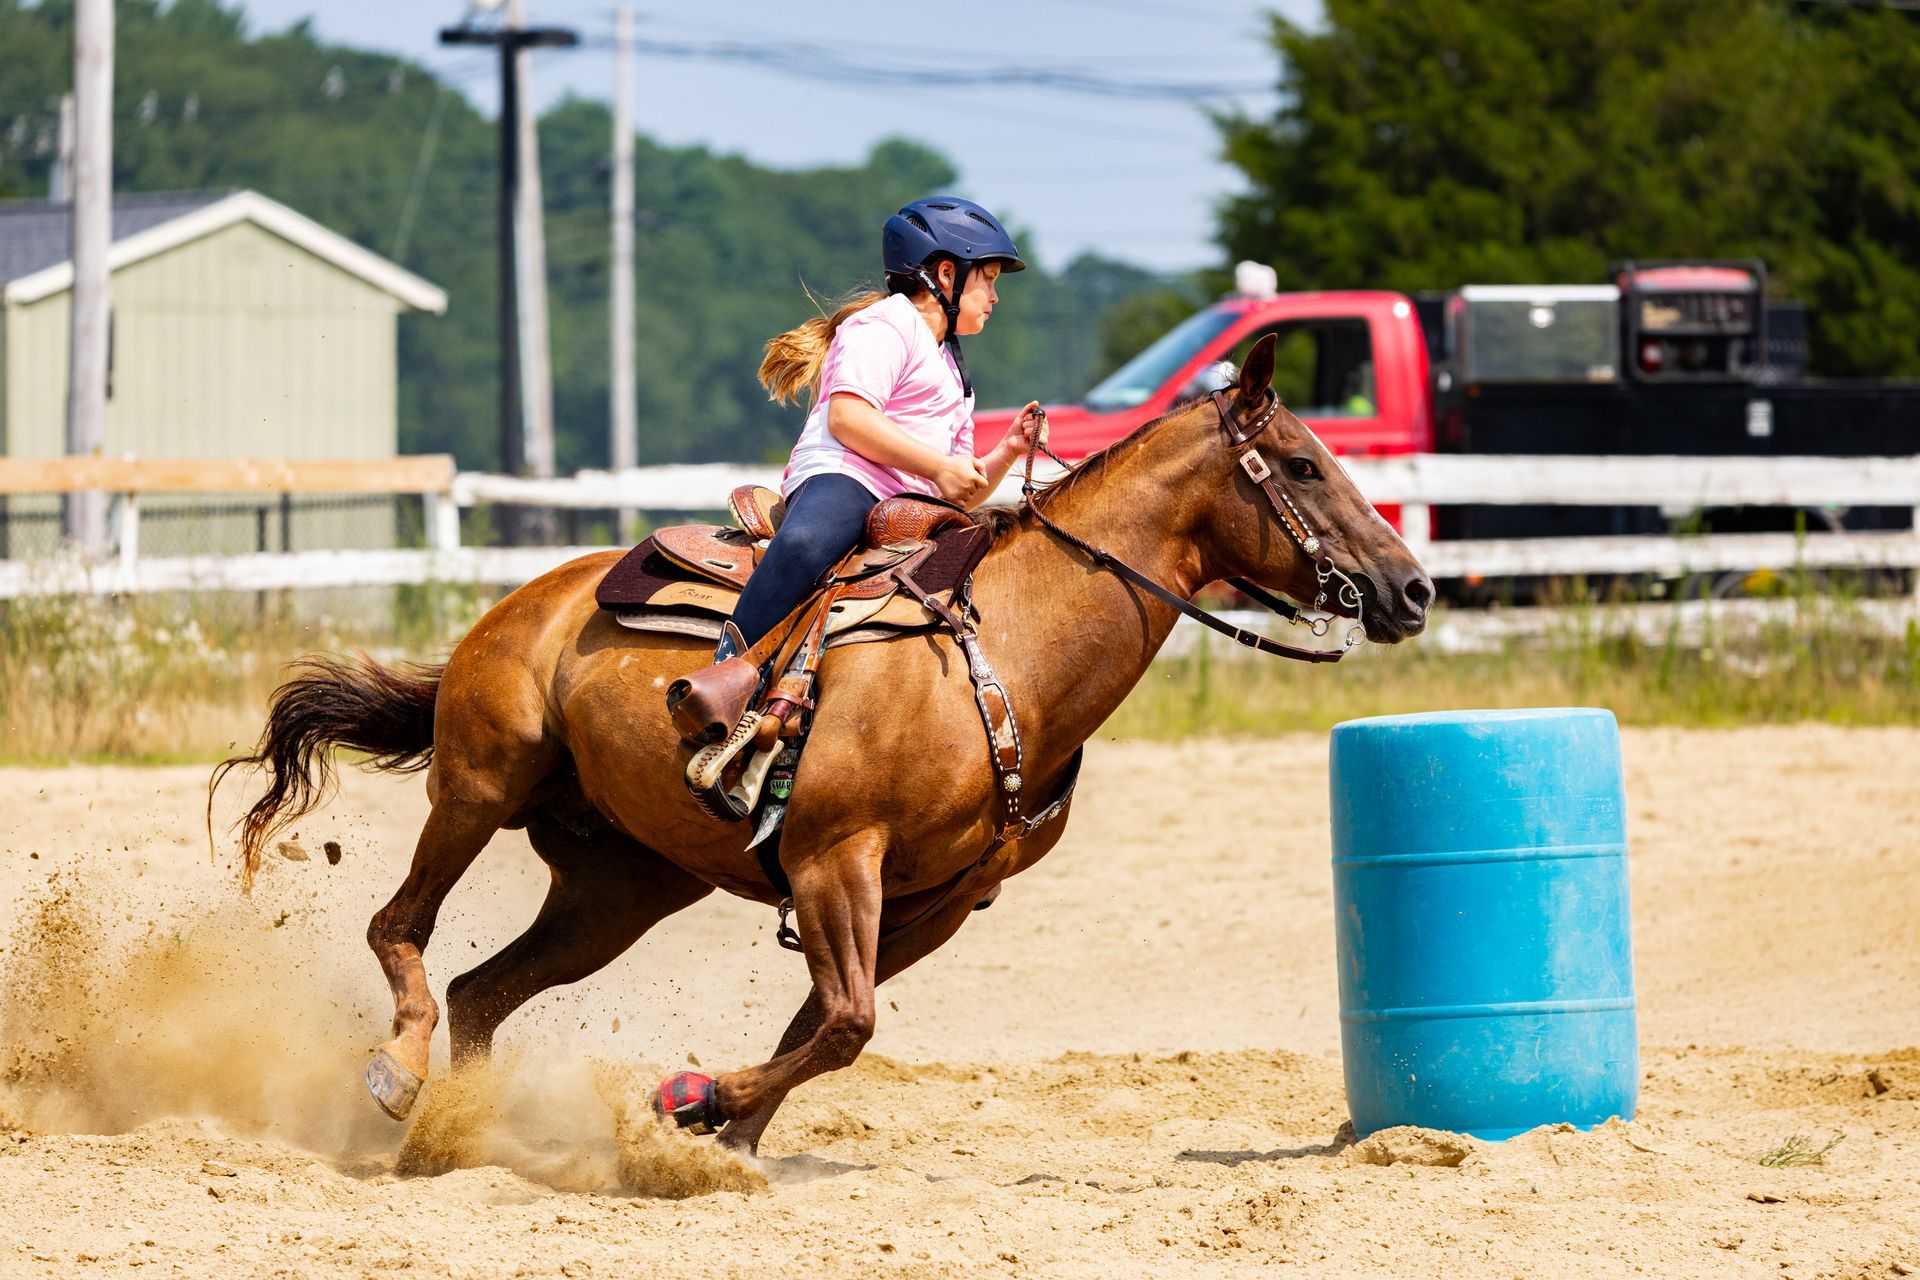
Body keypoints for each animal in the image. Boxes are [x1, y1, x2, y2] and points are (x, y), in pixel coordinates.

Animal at [214, 334, 1433, 1154]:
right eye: (1305, 465)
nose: (1413, 589)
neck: (1006, 652)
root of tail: (526, 601)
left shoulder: (935, 900)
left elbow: (830, 1025)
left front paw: (720, 1130)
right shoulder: (835, 857)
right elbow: (846, 1019)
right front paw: (698, 1100)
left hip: (622, 885)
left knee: (483, 991)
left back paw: (458, 1126)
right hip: (479, 781)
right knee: (402, 930)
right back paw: (397, 1068)